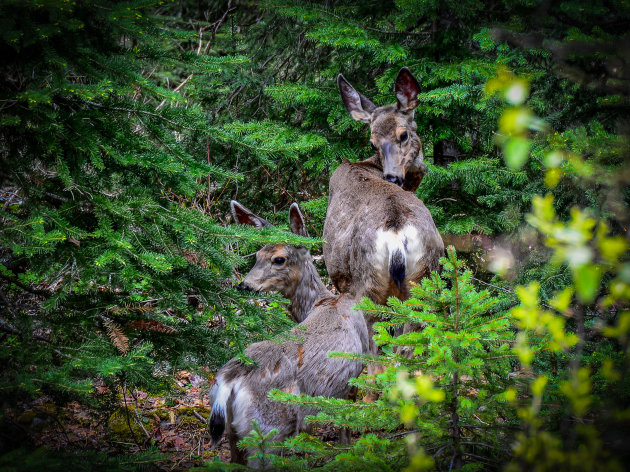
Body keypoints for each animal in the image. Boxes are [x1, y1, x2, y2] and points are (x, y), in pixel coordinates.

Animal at [211, 200, 370, 464]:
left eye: (278, 259)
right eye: (257, 255)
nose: (244, 285)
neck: (325, 302)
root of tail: (230, 379)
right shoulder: (354, 376)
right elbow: (344, 429)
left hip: (235, 434)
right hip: (268, 430)